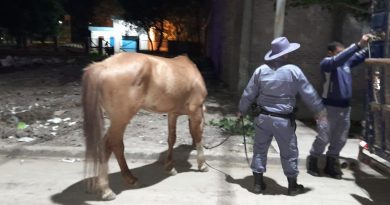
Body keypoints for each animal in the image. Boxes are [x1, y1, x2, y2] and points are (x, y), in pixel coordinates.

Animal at [82, 51, 209, 200]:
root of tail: (102, 66)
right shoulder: (196, 111)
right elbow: (198, 135)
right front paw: (202, 164)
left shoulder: (172, 113)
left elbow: (172, 138)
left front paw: (169, 167)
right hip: (121, 119)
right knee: (111, 144)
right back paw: (107, 190)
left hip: (118, 120)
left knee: (113, 145)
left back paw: (129, 179)